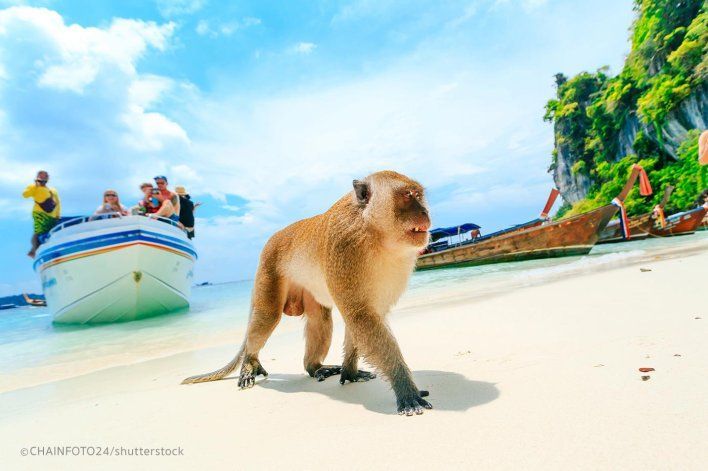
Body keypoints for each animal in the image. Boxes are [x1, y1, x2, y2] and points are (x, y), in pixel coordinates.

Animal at [183, 170, 434, 416]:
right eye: (407, 196)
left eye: (418, 195)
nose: (424, 211)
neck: (374, 232)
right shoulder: (345, 248)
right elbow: (360, 316)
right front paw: (405, 389)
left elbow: (361, 318)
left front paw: (351, 372)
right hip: (268, 270)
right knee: (267, 317)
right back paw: (249, 363)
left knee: (319, 319)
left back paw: (315, 368)